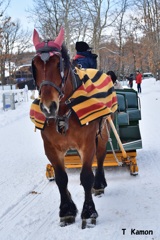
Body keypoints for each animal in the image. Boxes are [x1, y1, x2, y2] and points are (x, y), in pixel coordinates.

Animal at [31, 27, 116, 228]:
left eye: (58, 64)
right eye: (34, 65)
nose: (48, 107)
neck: (64, 113)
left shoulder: (87, 144)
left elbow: (86, 176)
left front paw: (89, 211)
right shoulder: (51, 148)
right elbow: (61, 179)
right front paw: (67, 210)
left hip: (102, 134)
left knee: (101, 156)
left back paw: (99, 184)